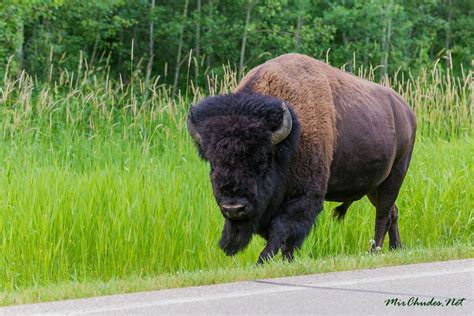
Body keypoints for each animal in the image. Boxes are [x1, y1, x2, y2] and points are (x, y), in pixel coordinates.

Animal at [186, 53, 414, 262]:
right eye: (213, 164)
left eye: (262, 161)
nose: (234, 208)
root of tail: (406, 111)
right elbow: (281, 237)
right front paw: (286, 260)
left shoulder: (305, 196)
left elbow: (281, 229)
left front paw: (263, 260)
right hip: (374, 186)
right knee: (392, 211)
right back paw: (396, 247)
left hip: (394, 177)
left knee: (383, 215)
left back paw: (374, 251)